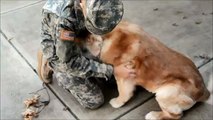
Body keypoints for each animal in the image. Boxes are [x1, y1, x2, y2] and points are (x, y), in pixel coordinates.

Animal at [82, 20, 210, 119]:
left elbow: (123, 94)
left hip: (165, 92)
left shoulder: (123, 76)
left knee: (176, 115)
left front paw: (117, 102)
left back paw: (154, 115)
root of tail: (204, 92)